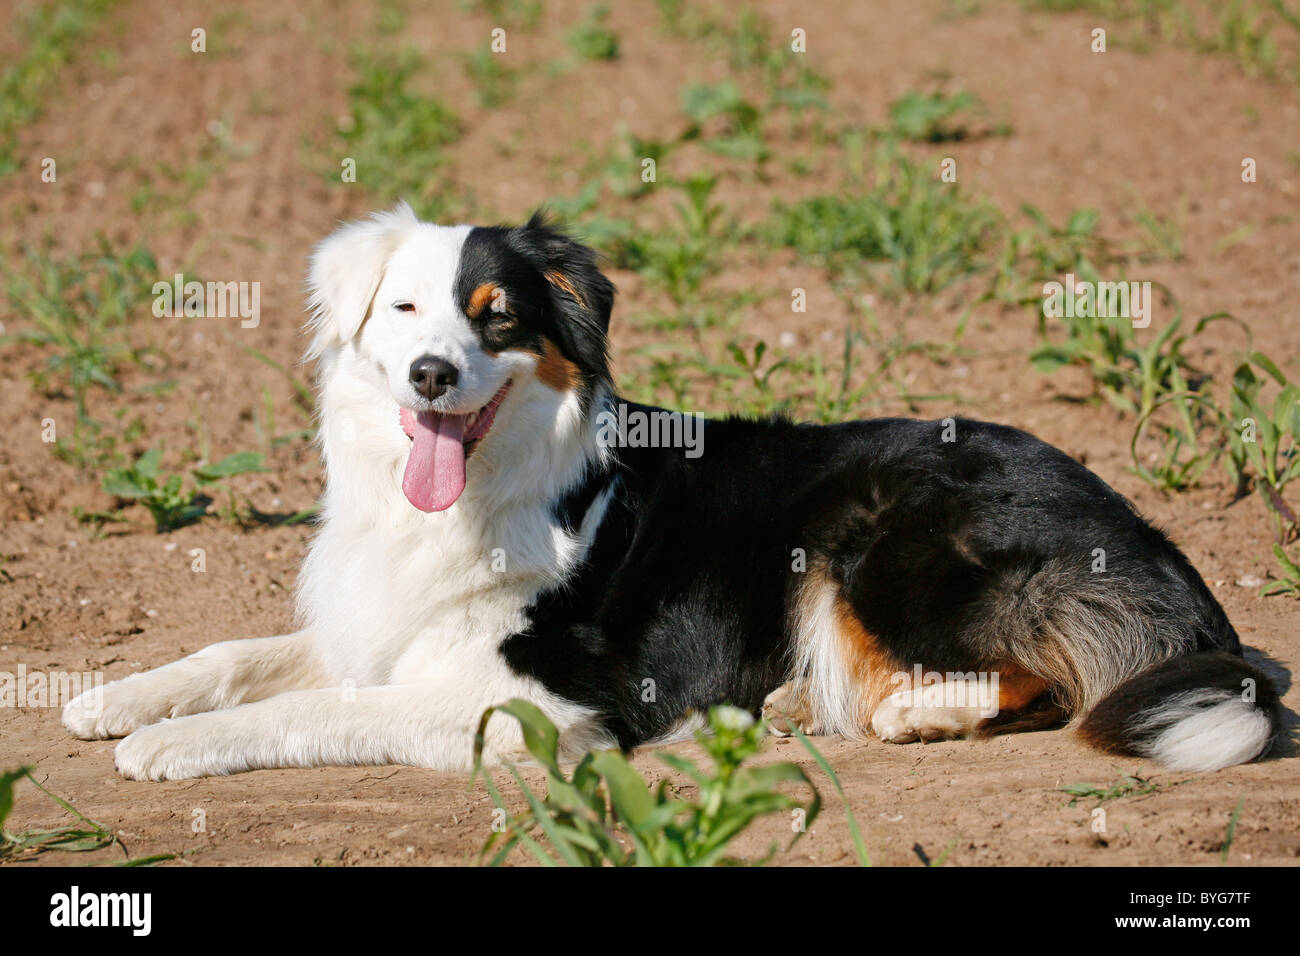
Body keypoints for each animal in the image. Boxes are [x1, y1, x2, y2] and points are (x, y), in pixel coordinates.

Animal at [63, 201, 1279, 780]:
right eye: (404, 310)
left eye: (498, 317)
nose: (432, 374)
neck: (485, 494)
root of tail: (1147, 538)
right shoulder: (380, 625)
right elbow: (241, 655)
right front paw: (116, 698)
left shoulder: (538, 697)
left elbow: (318, 707)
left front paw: (167, 747)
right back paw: (803, 701)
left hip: (874, 535)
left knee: (1046, 675)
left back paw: (901, 710)